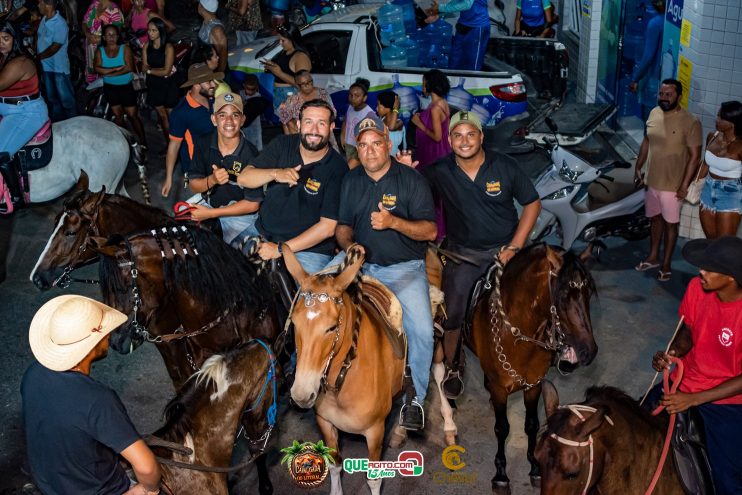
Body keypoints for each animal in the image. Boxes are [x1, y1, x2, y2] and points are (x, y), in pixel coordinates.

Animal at [286, 245, 406, 495]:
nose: (301, 395)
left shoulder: (375, 432)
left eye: (332, 327)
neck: (341, 382)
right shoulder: (325, 423)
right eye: (294, 323)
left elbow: (374, 479)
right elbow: (334, 465)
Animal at [468, 243, 600, 492]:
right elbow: (502, 428)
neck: (518, 335)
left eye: (588, 293)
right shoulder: (500, 389)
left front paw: (536, 467)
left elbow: (531, 424)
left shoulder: (533, 385)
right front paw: (501, 474)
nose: (589, 351)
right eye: (564, 295)